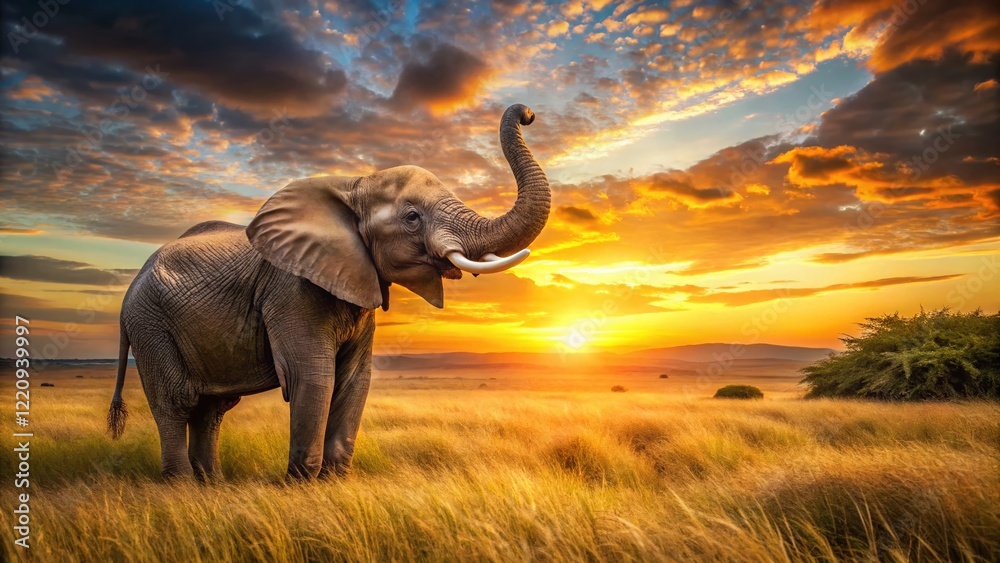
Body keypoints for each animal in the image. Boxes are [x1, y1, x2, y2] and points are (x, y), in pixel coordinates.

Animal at [106, 103, 550, 480]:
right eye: (412, 217)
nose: (526, 113)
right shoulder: (291, 288)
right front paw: (301, 486)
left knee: (212, 408)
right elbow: (313, 375)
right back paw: (182, 487)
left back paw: (211, 486)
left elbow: (355, 378)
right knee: (177, 400)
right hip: (150, 322)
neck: (354, 185)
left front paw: (333, 482)